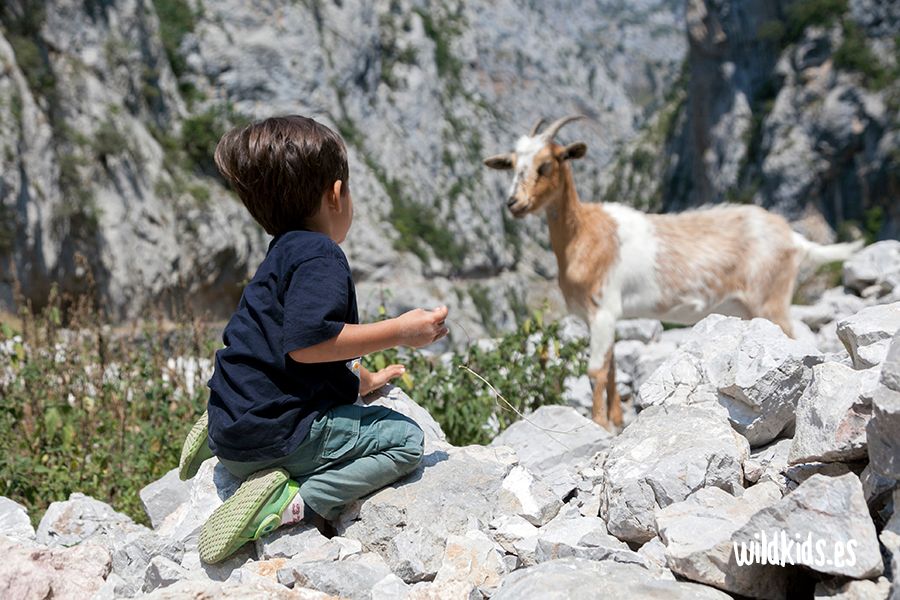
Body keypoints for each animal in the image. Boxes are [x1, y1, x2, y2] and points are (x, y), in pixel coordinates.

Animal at [486, 115, 864, 428]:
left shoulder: (603, 310)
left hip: (771, 298)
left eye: (546, 164)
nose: (514, 204)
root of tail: (794, 239)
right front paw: (616, 421)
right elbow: (611, 367)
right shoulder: (606, 315)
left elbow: (595, 370)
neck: (584, 234)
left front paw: (598, 424)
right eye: (512, 165)